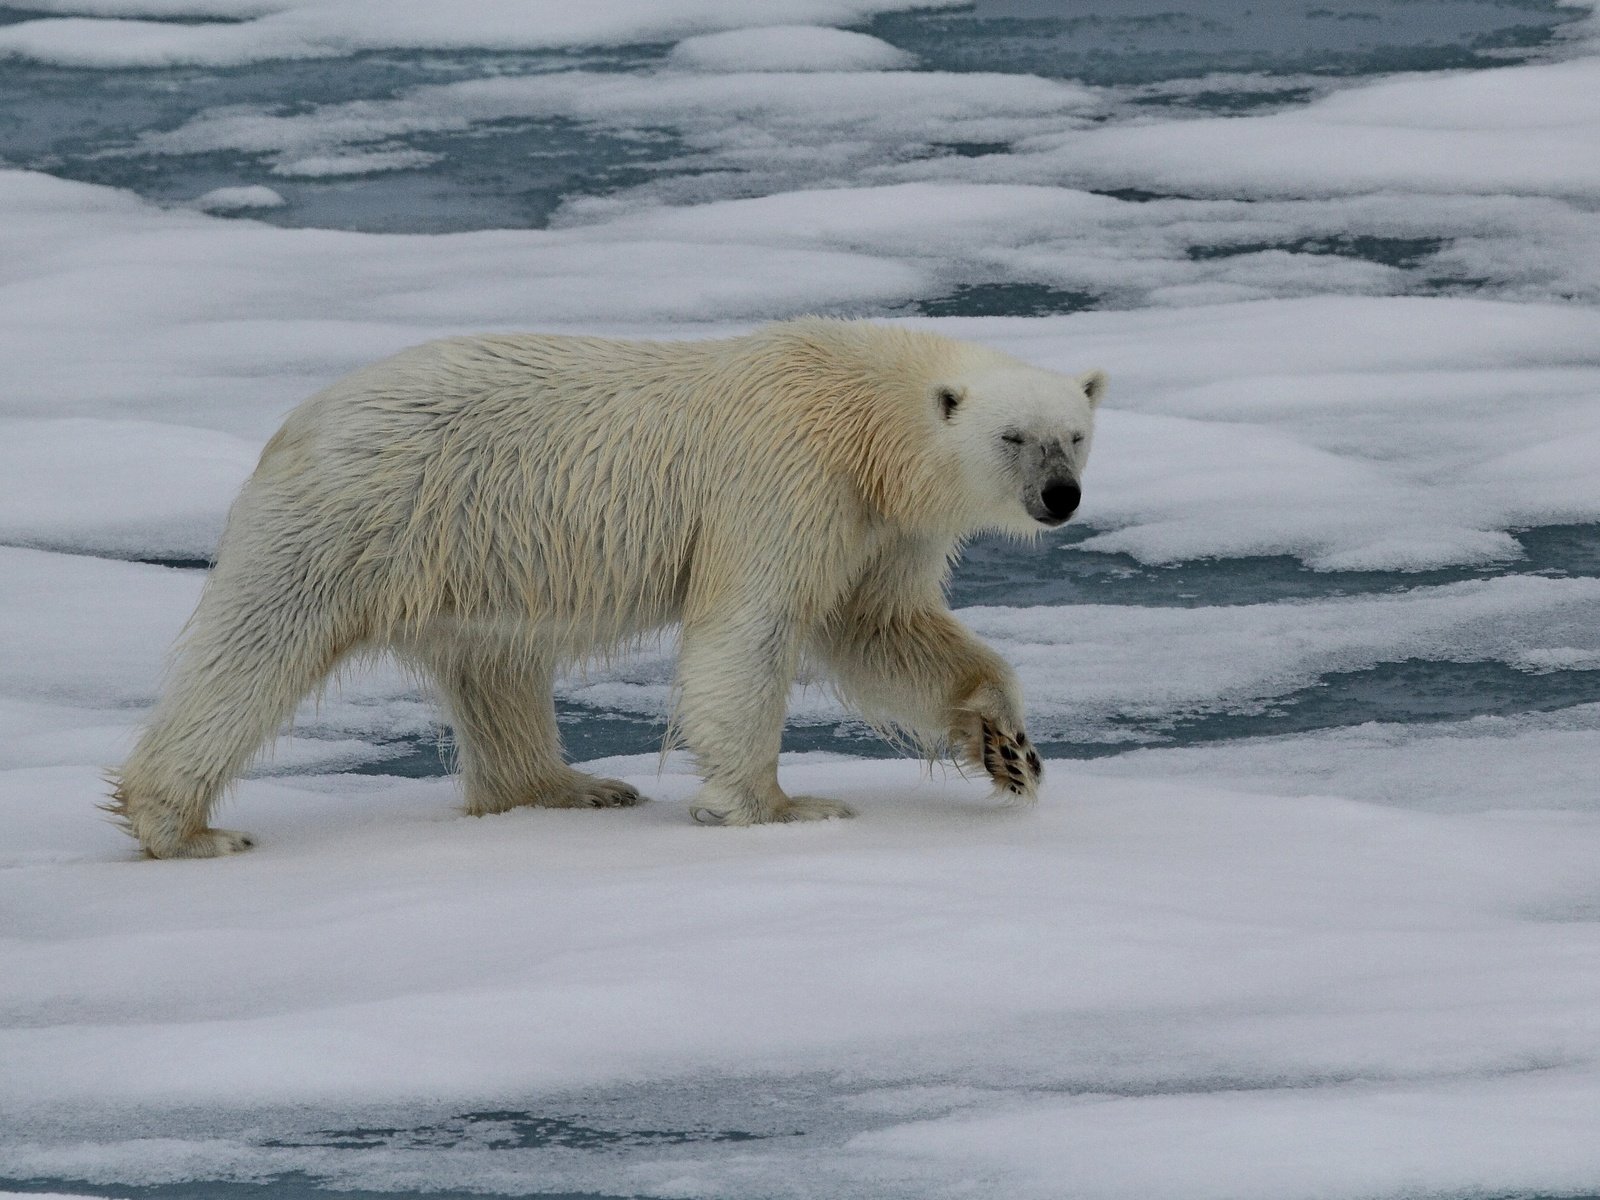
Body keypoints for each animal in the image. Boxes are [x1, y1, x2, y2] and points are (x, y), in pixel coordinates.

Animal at [109, 320, 1100, 857]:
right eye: (1014, 436)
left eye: (1077, 434)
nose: (1060, 498)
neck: (861, 409)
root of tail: (299, 418)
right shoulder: (784, 475)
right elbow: (752, 630)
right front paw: (778, 806)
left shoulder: (880, 525)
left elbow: (882, 628)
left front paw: (1010, 748)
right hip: (364, 512)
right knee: (257, 646)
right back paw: (184, 826)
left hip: (474, 548)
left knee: (496, 666)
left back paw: (568, 786)